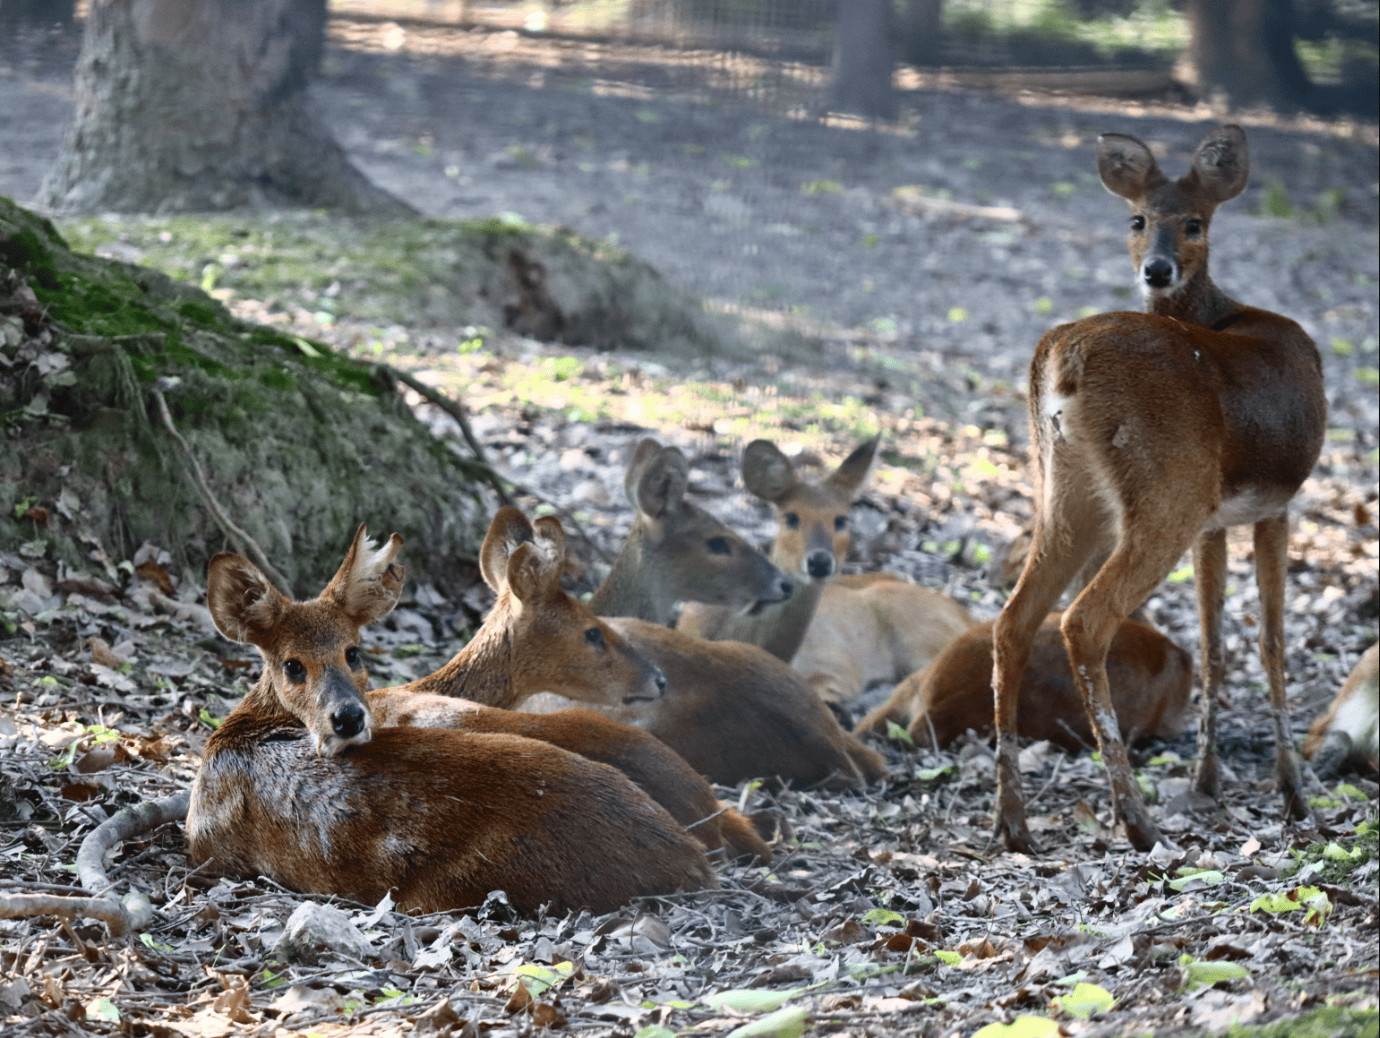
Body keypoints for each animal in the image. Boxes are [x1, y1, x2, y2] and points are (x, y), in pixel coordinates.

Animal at [993, 123, 1324, 850]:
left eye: (1195, 221)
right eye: (1137, 219)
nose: (1158, 268)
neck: (1223, 311)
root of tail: (1062, 359)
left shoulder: (1216, 521)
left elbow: (1215, 644)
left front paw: (1208, 781)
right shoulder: (1277, 505)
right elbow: (1271, 643)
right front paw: (1293, 794)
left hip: (1067, 489)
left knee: (1012, 621)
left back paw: (1014, 824)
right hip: (1167, 492)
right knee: (1085, 619)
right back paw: (1135, 818)